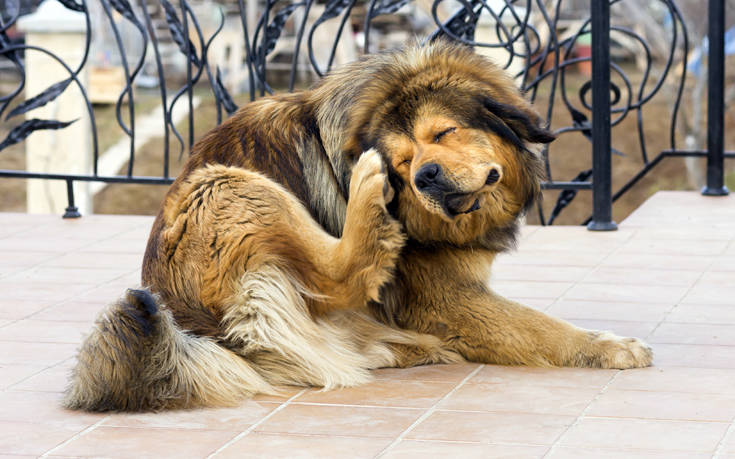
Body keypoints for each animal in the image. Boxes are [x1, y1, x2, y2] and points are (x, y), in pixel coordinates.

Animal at [61, 40, 648, 414]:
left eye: (445, 133)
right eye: (405, 162)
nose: (425, 177)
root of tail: (191, 329)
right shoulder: (446, 297)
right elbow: (542, 327)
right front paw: (609, 347)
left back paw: (404, 347)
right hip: (227, 185)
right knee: (341, 272)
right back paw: (367, 195)